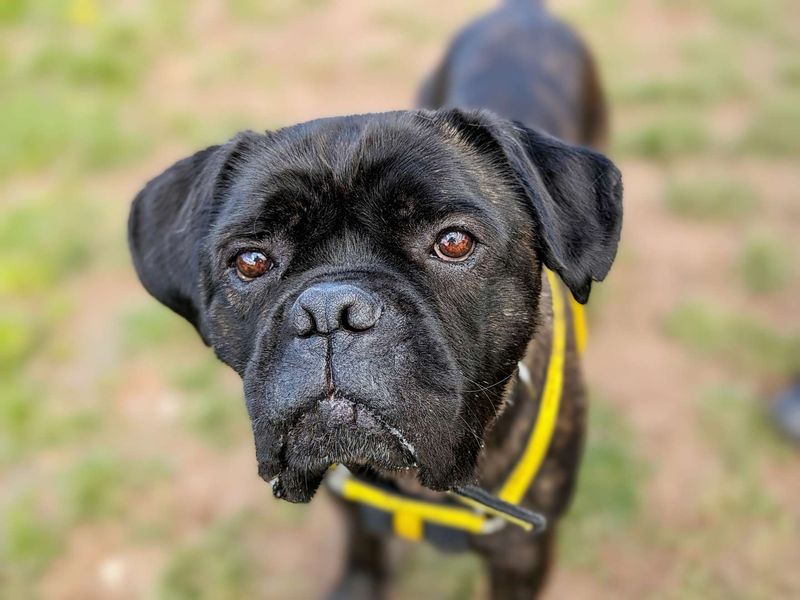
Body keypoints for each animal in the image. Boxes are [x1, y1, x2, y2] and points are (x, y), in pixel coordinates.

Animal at [128, 1, 620, 596]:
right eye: (250, 261)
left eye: (454, 242)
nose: (329, 311)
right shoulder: (349, 502)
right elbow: (362, 548)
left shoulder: (519, 556)